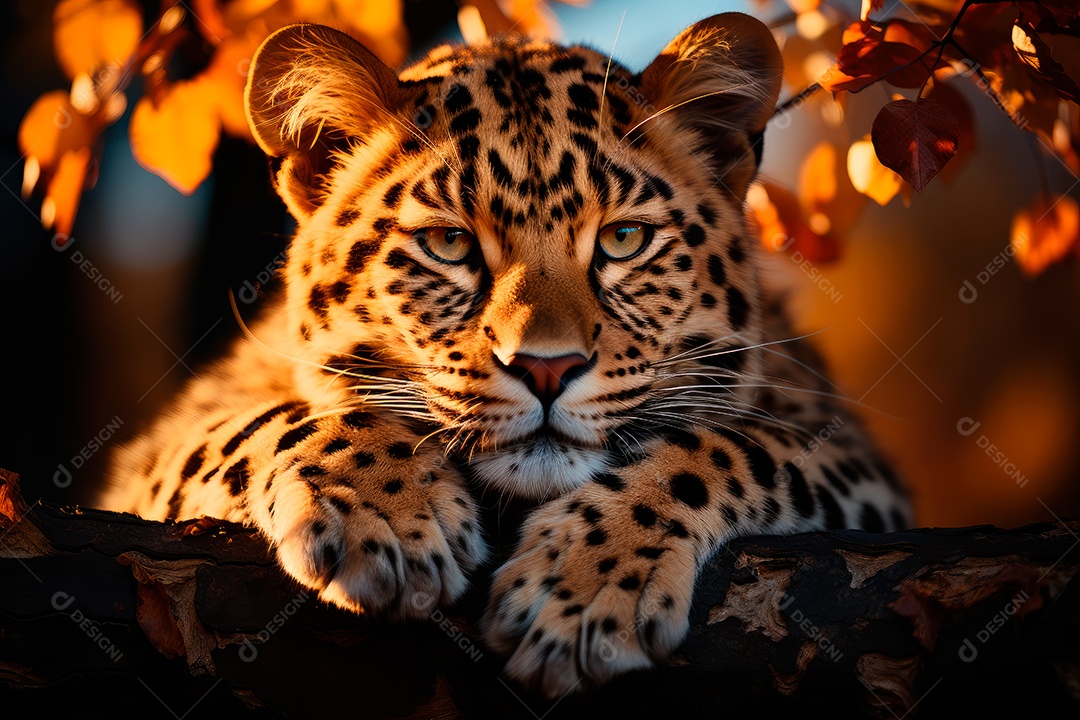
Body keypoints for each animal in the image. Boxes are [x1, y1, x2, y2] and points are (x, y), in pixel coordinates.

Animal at [101, 13, 912, 697]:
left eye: (623, 239)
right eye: (449, 243)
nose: (546, 368)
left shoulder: (857, 464)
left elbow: (732, 443)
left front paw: (583, 589)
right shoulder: (150, 459)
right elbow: (261, 422)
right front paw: (379, 510)